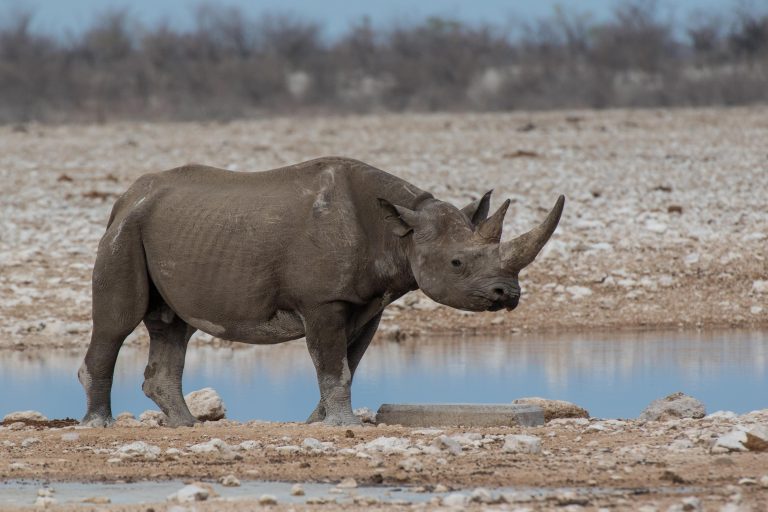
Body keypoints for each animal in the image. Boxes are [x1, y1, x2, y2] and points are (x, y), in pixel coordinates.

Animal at [79, 157, 564, 427]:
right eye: (457, 264)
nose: (507, 294)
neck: (402, 231)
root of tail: (125, 197)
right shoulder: (323, 301)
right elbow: (334, 365)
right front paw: (342, 424)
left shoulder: (367, 303)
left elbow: (348, 363)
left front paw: (320, 420)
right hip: (126, 231)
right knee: (118, 323)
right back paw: (100, 425)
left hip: (167, 230)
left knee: (173, 326)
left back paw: (185, 426)